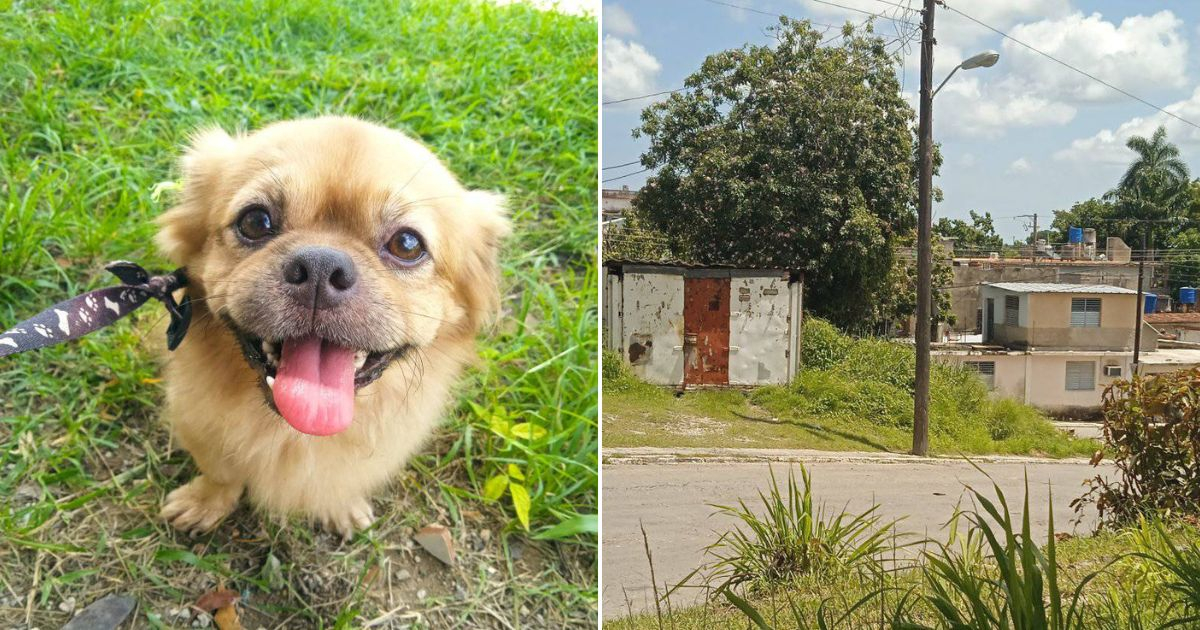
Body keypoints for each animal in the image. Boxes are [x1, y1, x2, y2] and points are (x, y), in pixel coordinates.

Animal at [153, 116, 506, 535]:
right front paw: (204, 502)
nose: (321, 266)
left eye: (407, 244)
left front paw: (341, 507)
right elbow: (221, 473)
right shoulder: (201, 428)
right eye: (255, 221)